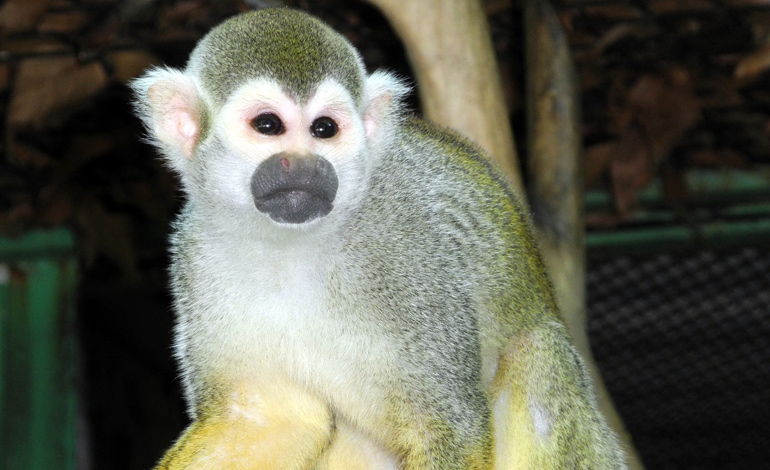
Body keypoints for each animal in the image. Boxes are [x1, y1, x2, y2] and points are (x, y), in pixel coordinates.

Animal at [132, 7, 627, 470]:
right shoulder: (196, 253)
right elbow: (266, 419)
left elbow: (447, 428)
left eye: (324, 129)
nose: (305, 166)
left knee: (535, 352)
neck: (295, 245)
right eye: (268, 125)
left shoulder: (414, 248)